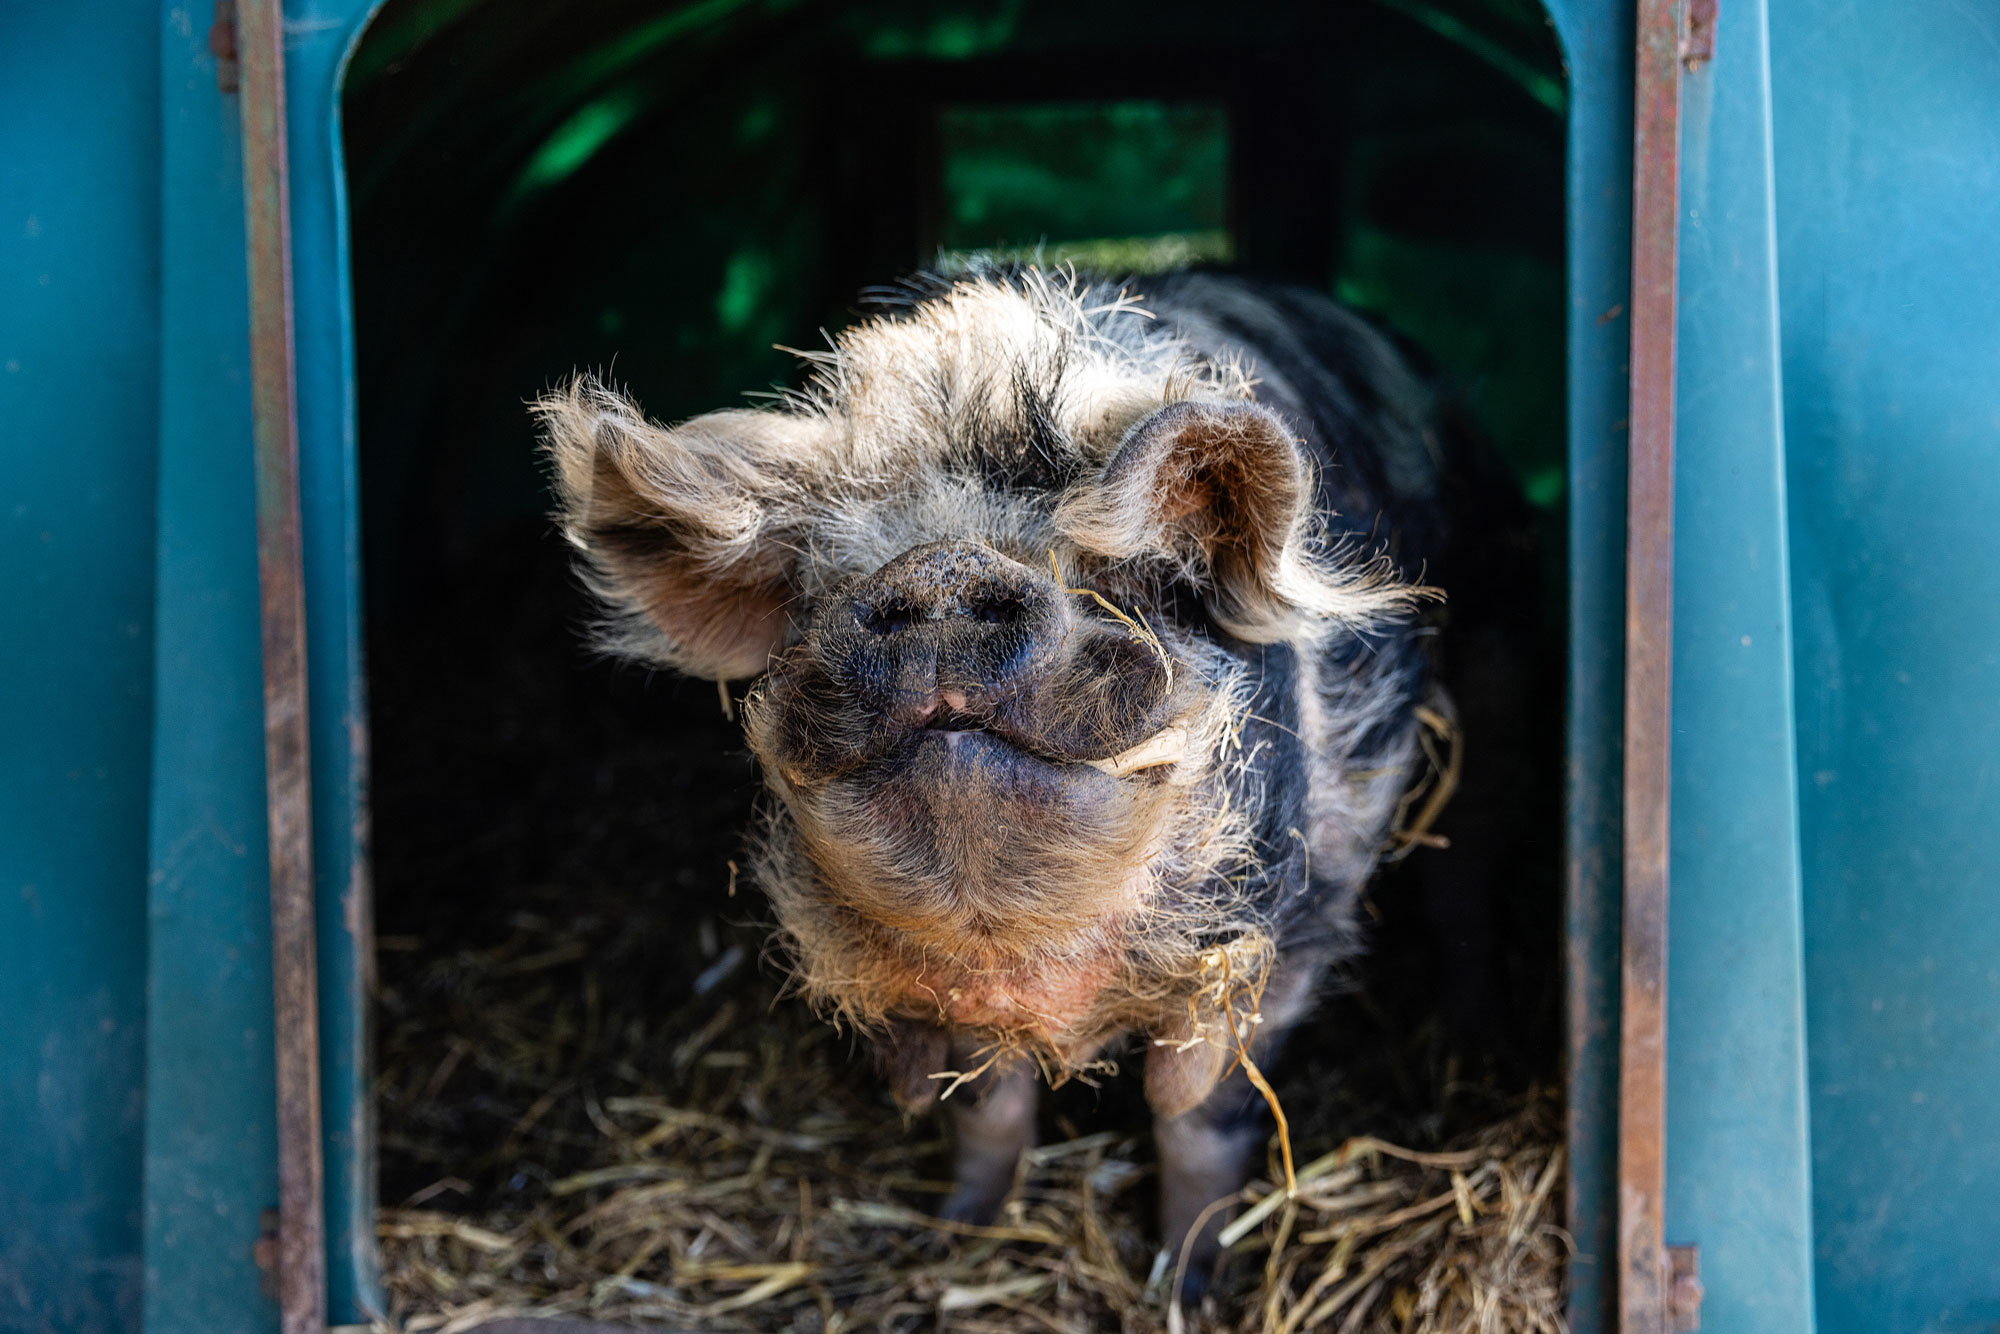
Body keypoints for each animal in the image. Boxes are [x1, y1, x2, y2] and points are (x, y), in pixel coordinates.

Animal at [536, 266, 1504, 1296]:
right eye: (823, 586)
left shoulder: (1295, 928)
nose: (939, 567)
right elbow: (988, 1107)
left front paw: (1189, 1284)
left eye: (1140, 583)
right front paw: (955, 1234)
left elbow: (1199, 1115)